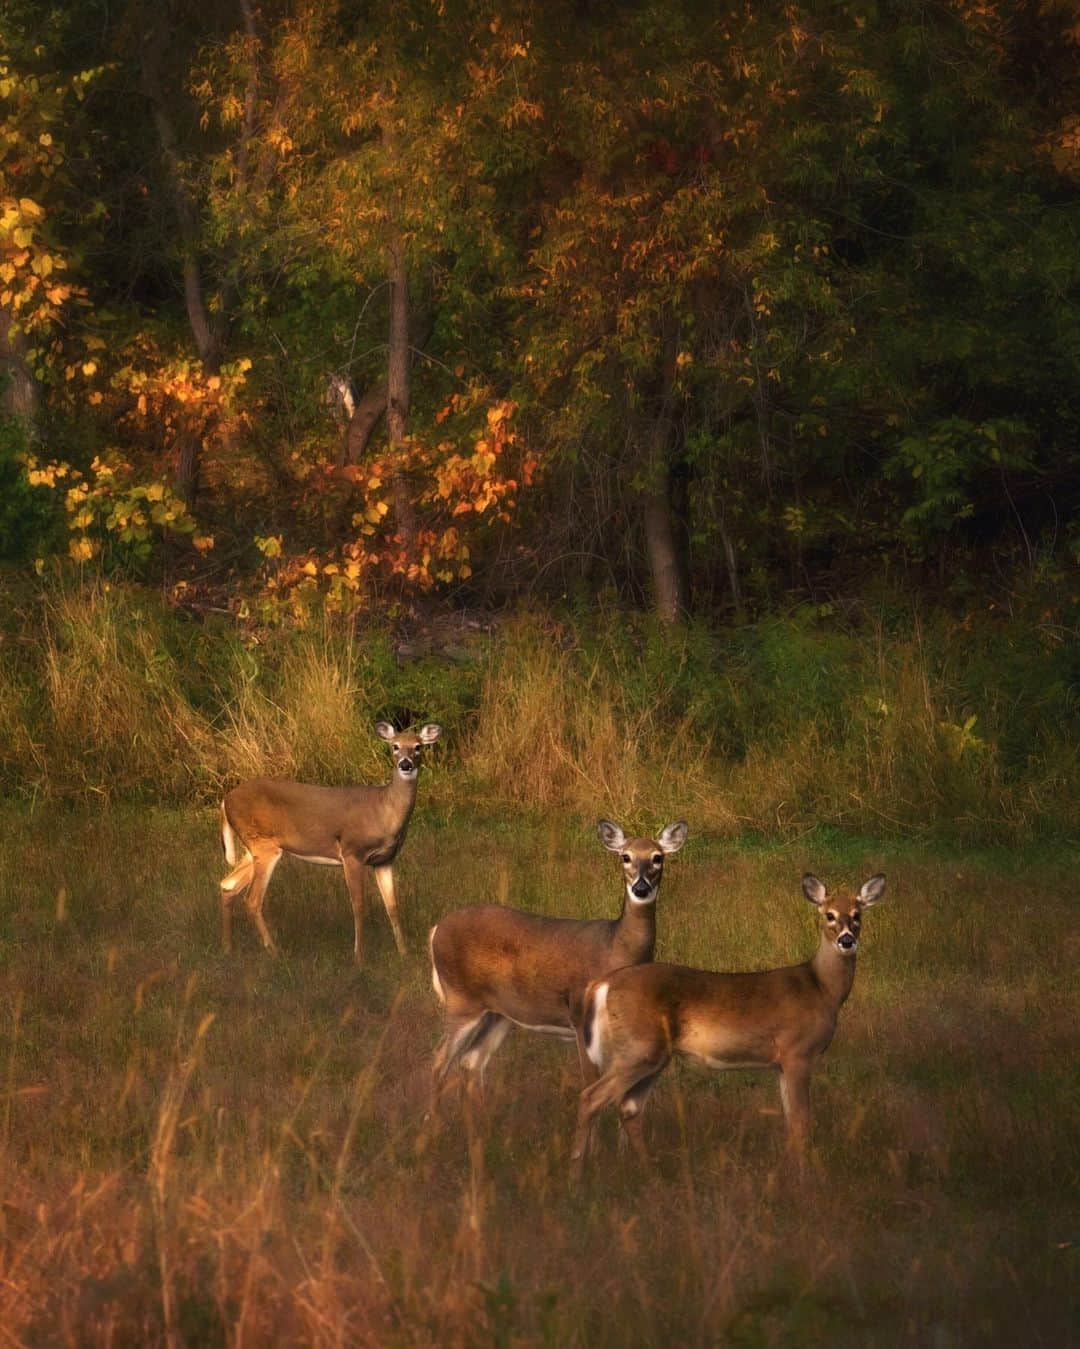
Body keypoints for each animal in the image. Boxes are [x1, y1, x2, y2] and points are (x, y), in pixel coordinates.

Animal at [218, 723, 442, 965]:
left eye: (418, 747)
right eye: (395, 746)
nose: (405, 764)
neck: (384, 811)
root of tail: (225, 801)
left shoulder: (384, 860)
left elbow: (392, 906)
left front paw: (404, 953)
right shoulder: (352, 852)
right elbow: (359, 905)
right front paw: (359, 957)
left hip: (254, 848)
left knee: (227, 885)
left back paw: (228, 949)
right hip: (264, 844)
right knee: (252, 899)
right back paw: (275, 952)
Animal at [426, 814, 687, 1089]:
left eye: (657, 857)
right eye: (625, 856)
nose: (641, 888)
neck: (616, 946)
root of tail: (435, 930)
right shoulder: (581, 1018)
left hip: (498, 1012)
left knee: (471, 1061)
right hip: (461, 998)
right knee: (439, 1060)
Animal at [571, 874, 884, 1170]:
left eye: (857, 915)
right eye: (829, 915)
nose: (847, 940)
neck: (822, 989)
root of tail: (603, 984)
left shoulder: (781, 1063)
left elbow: (791, 1121)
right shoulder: (798, 1052)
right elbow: (801, 1122)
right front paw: (803, 1175)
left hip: (651, 1054)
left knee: (629, 1108)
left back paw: (648, 1170)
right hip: (639, 1047)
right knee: (591, 1098)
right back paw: (578, 1170)